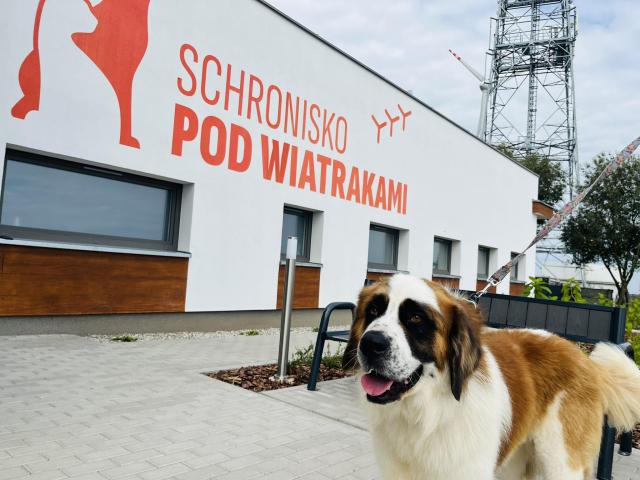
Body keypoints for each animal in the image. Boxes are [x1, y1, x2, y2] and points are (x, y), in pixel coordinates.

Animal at [342, 274, 640, 480]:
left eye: (415, 319)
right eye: (373, 311)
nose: (371, 344)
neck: (427, 413)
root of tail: (583, 358)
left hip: (563, 463)